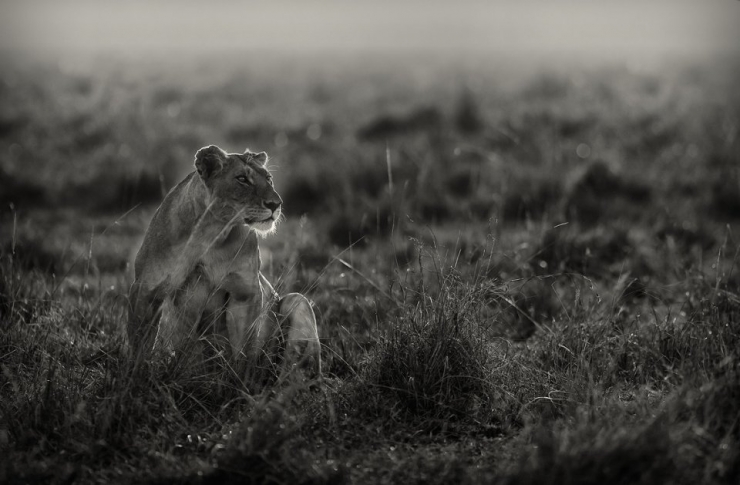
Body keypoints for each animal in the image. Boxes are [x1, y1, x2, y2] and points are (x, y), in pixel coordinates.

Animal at [127, 145, 320, 381]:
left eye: (269, 179)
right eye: (242, 179)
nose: (276, 204)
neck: (211, 231)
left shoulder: (245, 292)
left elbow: (244, 350)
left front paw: (239, 384)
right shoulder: (146, 288)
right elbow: (140, 345)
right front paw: (135, 379)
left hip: (297, 301)